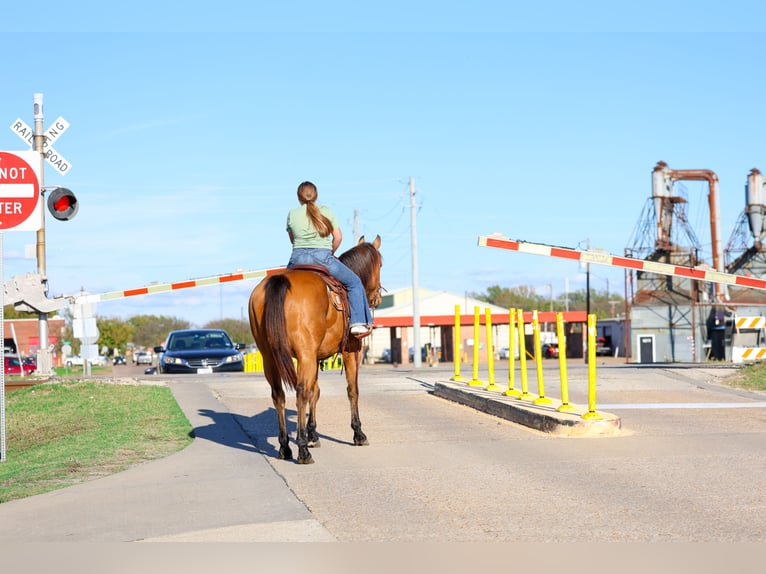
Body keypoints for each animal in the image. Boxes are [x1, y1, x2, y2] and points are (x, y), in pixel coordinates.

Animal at [248, 235, 383, 464]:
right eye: (381, 265)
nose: (378, 298)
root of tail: (279, 281)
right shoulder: (351, 352)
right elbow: (352, 390)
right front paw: (358, 433)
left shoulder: (316, 356)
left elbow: (316, 392)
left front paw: (313, 434)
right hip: (304, 355)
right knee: (301, 392)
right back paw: (302, 450)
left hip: (270, 356)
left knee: (279, 395)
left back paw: (285, 447)